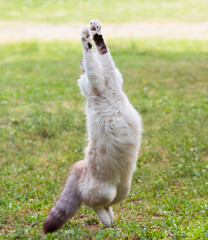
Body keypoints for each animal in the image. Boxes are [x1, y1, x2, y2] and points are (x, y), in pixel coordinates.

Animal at [43, 19, 142, 233]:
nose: (80, 69)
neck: (107, 92)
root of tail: (82, 167)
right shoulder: (98, 80)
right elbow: (92, 59)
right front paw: (85, 37)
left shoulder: (110, 76)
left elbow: (102, 52)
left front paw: (95, 31)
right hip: (105, 191)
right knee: (92, 204)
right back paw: (106, 221)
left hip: (123, 190)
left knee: (107, 205)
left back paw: (110, 220)